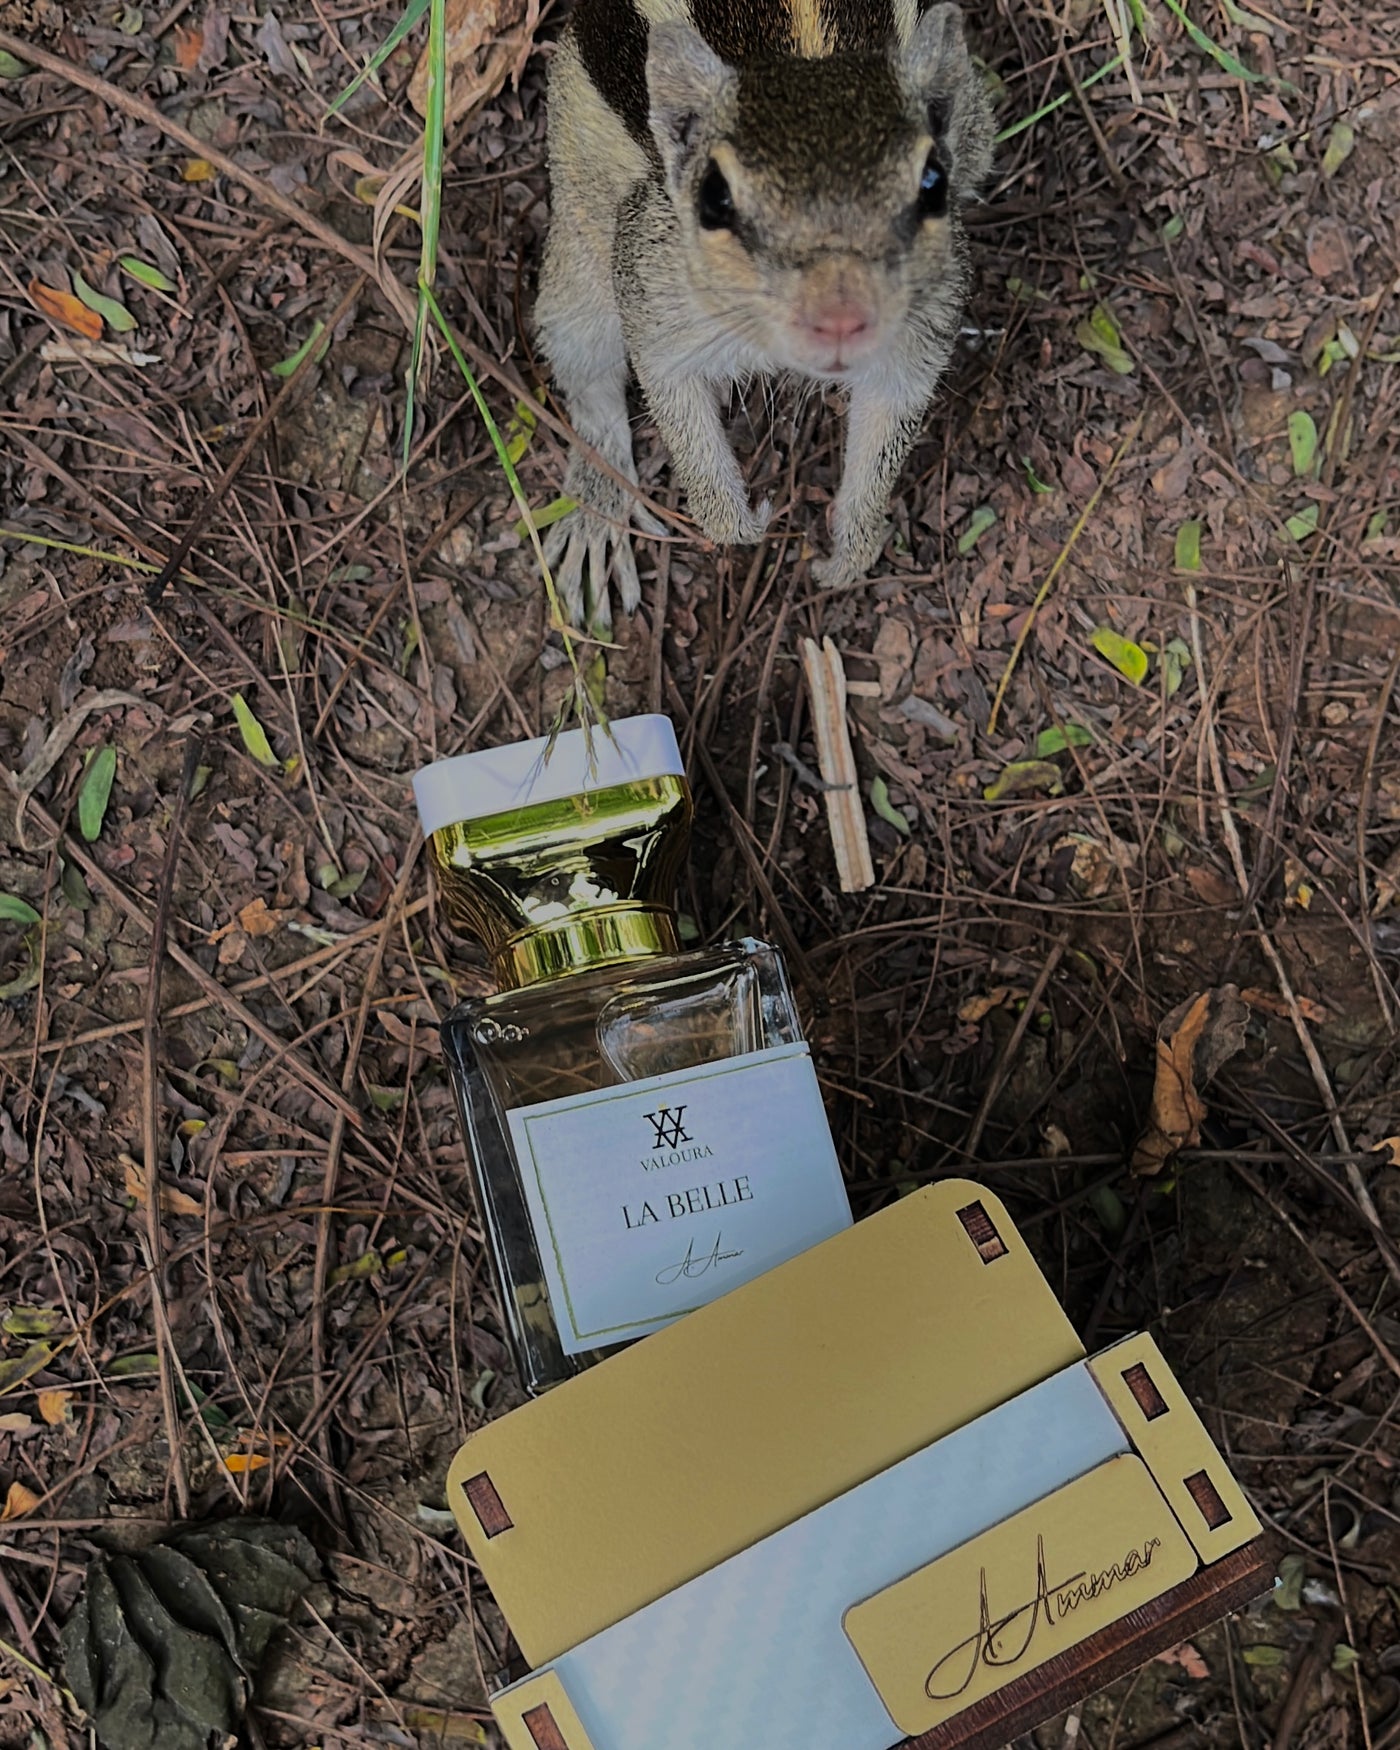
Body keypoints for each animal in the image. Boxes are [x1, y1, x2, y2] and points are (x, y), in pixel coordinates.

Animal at [535, 0, 995, 628]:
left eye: (933, 183)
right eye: (715, 196)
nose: (841, 317)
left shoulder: (922, 324)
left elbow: (890, 412)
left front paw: (850, 550)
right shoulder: (655, 287)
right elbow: (669, 389)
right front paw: (742, 522)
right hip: (578, 198)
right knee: (586, 362)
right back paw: (596, 507)